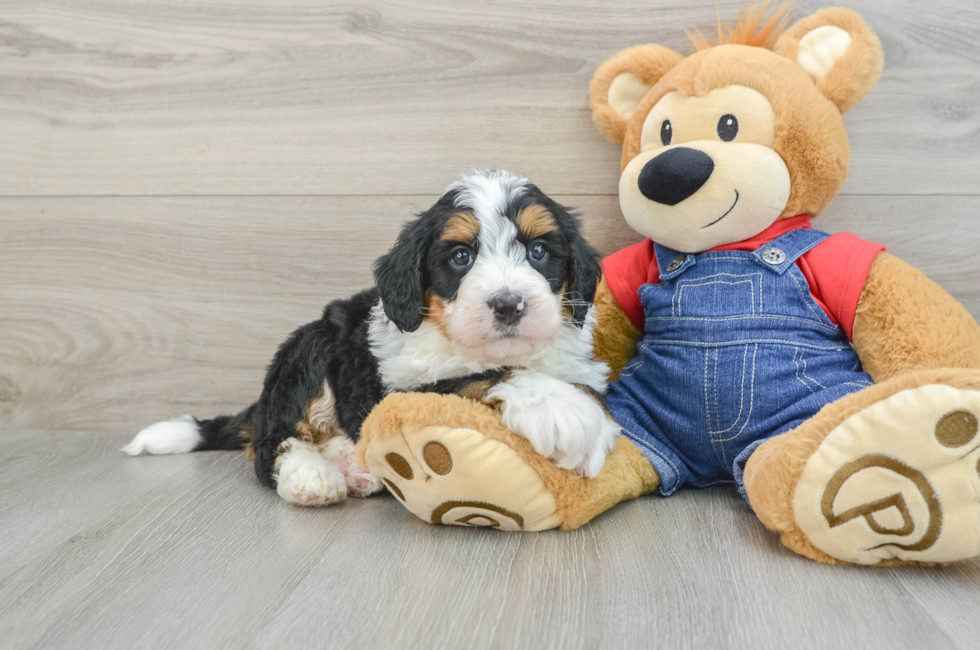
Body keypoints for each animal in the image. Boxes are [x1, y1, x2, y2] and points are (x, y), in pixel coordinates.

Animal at [124, 170, 620, 504]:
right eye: (460, 257)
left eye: (538, 251)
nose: (509, 304)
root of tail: (261, 402)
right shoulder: (402, 385)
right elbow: (485, 374)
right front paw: (561, 410)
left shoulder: (578, 363)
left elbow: (584, 388)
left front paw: (581, 414)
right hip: (310, 349)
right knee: (272, 443)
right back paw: (311, 477)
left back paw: (355, 464)